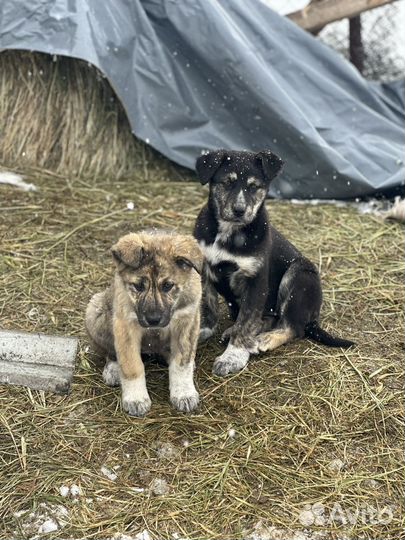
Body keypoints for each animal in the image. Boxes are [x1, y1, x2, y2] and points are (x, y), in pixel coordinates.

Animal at [86, 230, 204, 416]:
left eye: (168, 286)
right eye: (138, 286)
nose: (153, 319)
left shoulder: (187, 322)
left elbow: (181, 363)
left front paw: (183, 393)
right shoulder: (126, 325)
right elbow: (132, 364)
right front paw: (136, 399)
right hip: (96, 313)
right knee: (111, 351)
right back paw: (113, 369)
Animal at [193, 148, 354, 376]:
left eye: (254, 186)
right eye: (227, 182)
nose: (239, 210)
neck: (228, 231)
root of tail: (314, 318)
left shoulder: (255, 280)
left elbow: (247, 319)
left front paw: (232, 357)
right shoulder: (203, 271)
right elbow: (208, 306)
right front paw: (200, 333)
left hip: (299, 274)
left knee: (293, 327)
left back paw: (264, 340)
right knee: (269, 319)